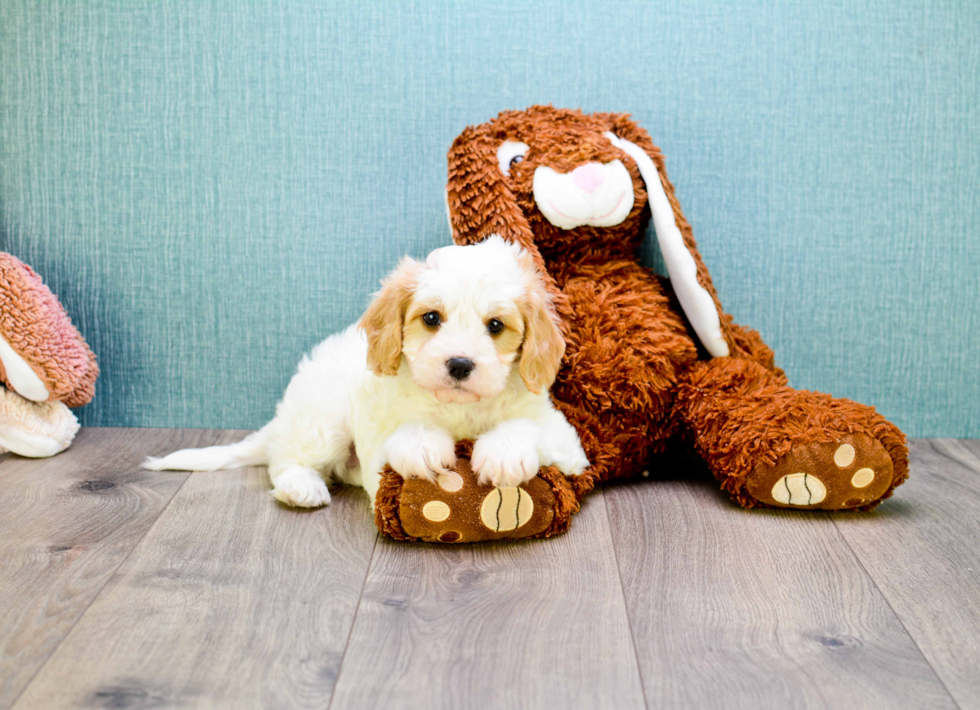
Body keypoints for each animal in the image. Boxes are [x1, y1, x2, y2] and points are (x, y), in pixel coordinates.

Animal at [144, 239, 588, 512]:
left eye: (496, 326)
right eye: (431, 318)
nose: (459, 364)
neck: (458, 408)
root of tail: (282, 421)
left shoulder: (565, 440)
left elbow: (527, 428)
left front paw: (503, 453)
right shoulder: (379, 431)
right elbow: (403, 436)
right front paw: (423, 445)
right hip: (323, 421)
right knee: (285, 461)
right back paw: (301, 487)